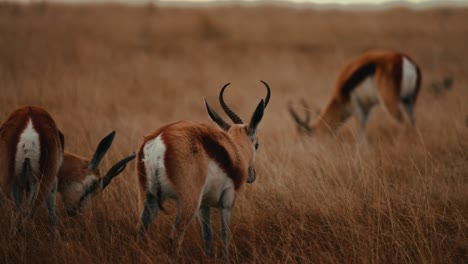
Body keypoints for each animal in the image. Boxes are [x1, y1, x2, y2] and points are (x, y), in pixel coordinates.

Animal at [136, 80, 270, 256]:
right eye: (257, 145)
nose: (251, 176)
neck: (234, 152)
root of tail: (160, 139)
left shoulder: (204, 206)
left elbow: (208, 237)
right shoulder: (227, 202)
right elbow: (224, 235)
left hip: (149, 198)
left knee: (141, 231)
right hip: (188, 202)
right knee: (175, 236)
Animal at [288, 49, 420, 140]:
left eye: (304, 138)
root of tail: (404, 60)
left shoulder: (353, 103)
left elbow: (360, 132)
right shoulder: (367, 107)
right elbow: (363, 128)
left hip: (390, 102)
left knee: (402, 122)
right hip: (409, 100)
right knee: (412, 121)